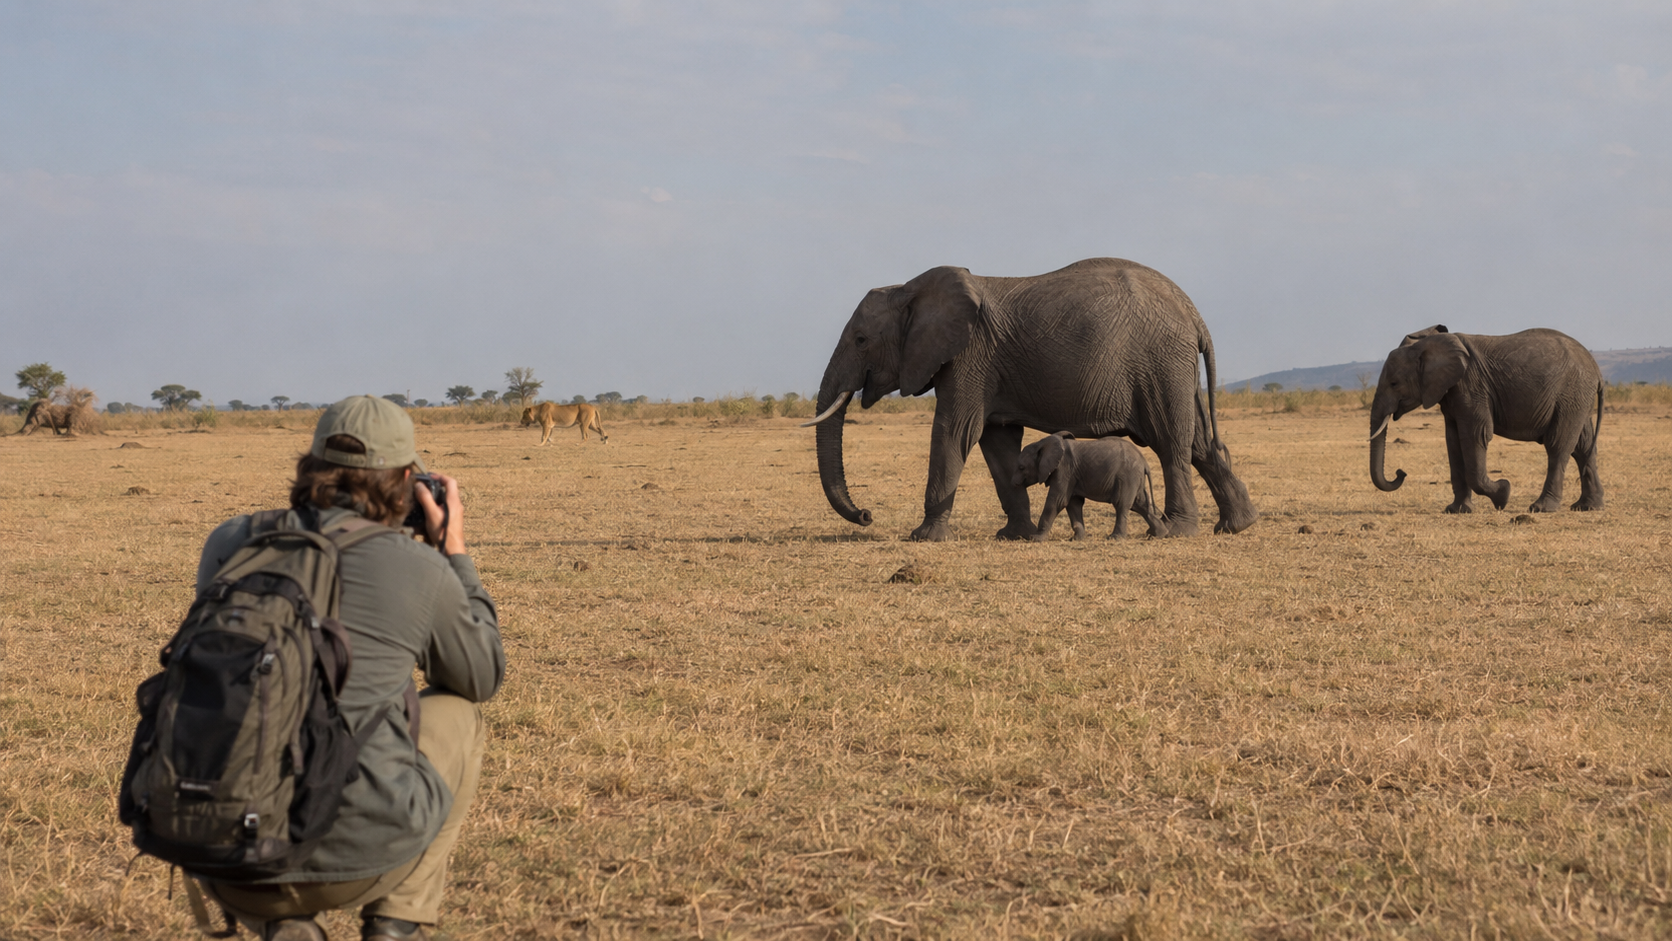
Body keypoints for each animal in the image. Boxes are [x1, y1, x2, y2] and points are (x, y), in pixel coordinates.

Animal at [1013, 432, 1166, 540]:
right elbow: (1073, 503)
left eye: (1021, 467)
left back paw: (1115, 538)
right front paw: (1076, 539)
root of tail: (1144, 462)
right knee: (1139, 504)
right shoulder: (1071, 475)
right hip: (1134, 478)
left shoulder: (1065, 470)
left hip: (1127, 477)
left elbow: (1057, 501)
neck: (1042, 444)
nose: (1014, 483)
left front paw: (1034, 539)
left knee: (1122, 504)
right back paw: (1158, 534)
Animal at [1369, 325, 1604, 513]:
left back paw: (1542, 508)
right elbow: (1453, 442)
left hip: (1571, 394)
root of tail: (1596, 368)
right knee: (1584, 448)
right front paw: (1457, 510)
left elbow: (1476, 435)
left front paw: (1503, 494)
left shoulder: (1471, 387)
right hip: (1577, 398)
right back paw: (1587, 507)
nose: (1401, 472)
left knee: (1557, 446)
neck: (1428, 344)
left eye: (1394, 383)